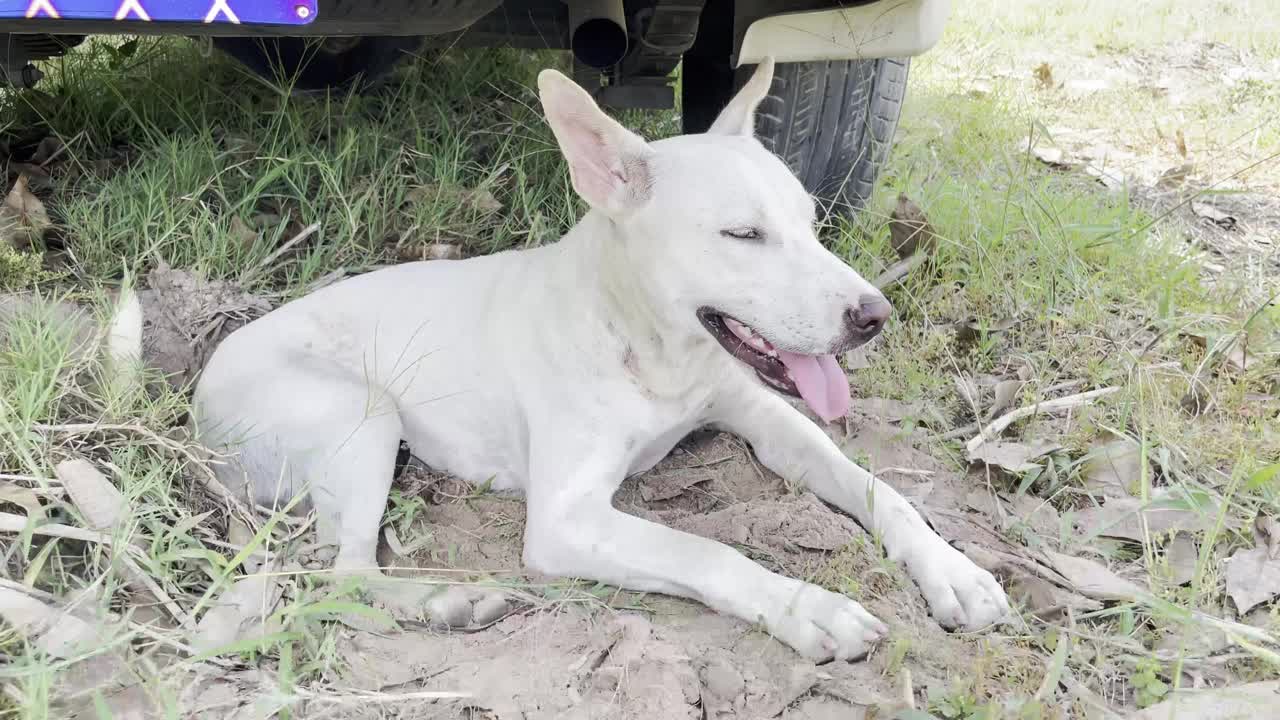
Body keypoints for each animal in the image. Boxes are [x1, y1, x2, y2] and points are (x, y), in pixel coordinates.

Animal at [192, 58, 1008, 661]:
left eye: (812, 222)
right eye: (742, 235)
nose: (874, 317)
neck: (648, 347)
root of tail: (198, 401)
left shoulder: (767, 417)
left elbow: (879, 489)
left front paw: (954, 570)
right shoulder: (566, 519)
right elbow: (704, 553)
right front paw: (810, 607)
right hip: (363, 416)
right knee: (342, 571)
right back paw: (445, 600)